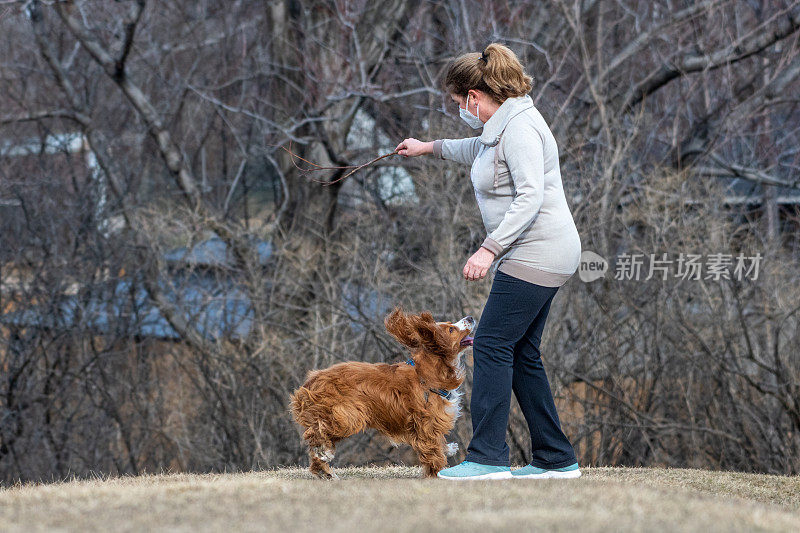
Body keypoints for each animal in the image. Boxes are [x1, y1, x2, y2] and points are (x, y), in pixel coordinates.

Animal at [290, 308, 472, 478]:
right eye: (451, 329)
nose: (470, 317)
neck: (430, 371)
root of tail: (312, 380)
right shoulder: (425, 422)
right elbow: (433, 450)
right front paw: (437, 473)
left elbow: (437, 443)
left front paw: (449, 448)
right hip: (346, 416)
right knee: (316, 433)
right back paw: (324, 455)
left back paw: (326, 472)